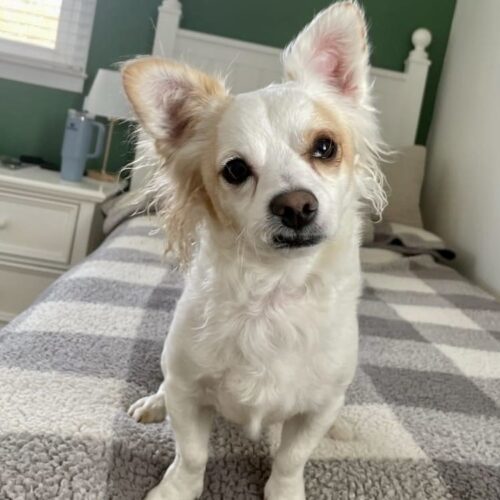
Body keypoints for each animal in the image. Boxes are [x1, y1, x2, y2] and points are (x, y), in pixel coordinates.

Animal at [123, 1, 384, 498]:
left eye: (326, 147)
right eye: (236, 170)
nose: (296, 205)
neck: (273, 291)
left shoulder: (317, 408)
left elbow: (291, 458)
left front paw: (284, 491)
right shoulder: (188, 389)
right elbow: (192, 453)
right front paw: (176, 489)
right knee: (165, 388)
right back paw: (153, 403)